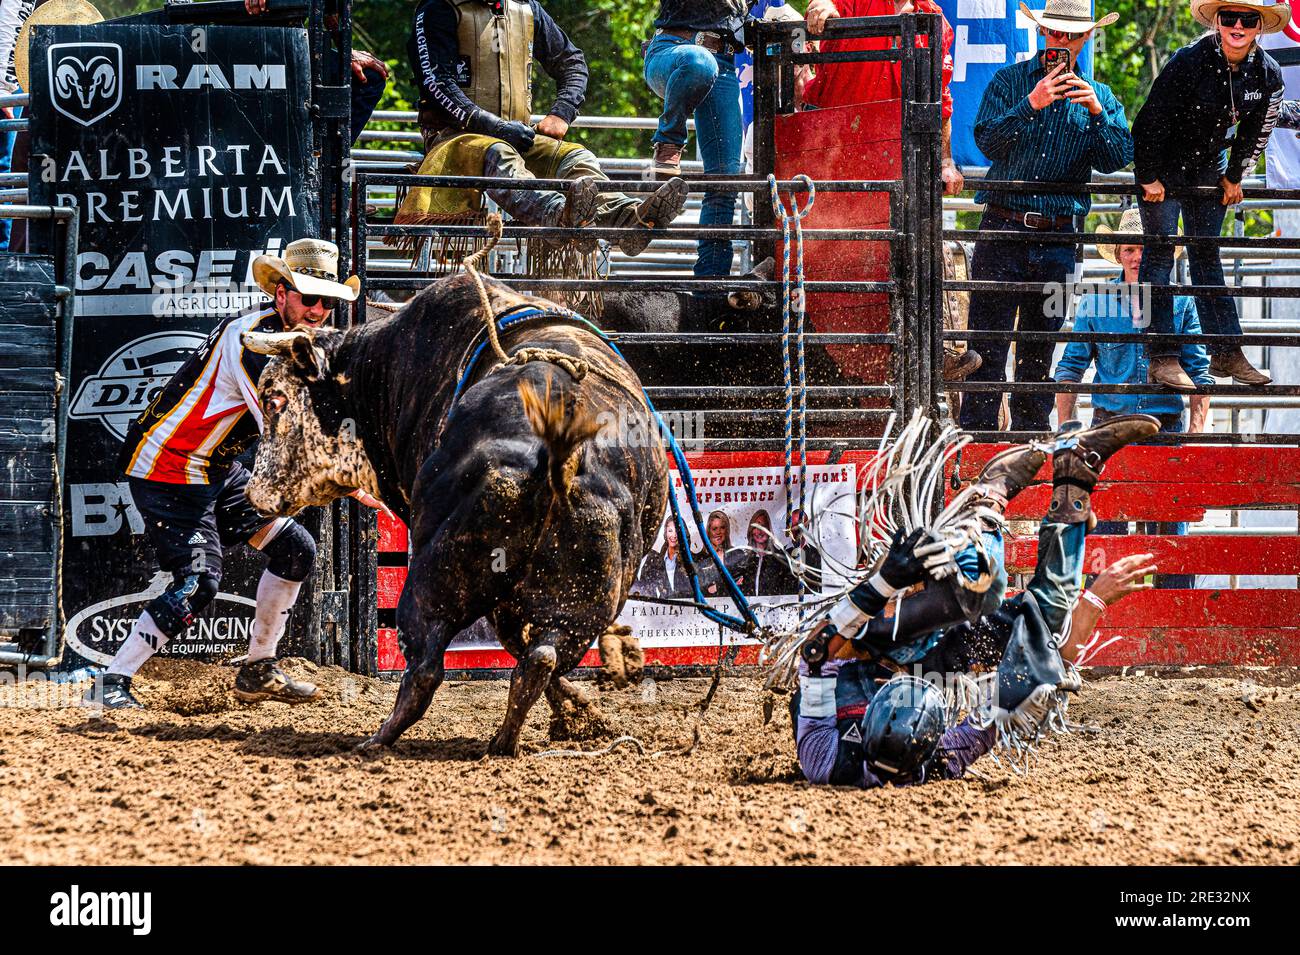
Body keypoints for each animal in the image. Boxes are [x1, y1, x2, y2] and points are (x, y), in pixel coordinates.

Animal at [241, 272, 670, 758]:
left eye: (274, 400)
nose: (254, 491)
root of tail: (553, 453)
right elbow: (525, 648)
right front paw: (580, 714)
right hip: (582, 596)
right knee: (541, 657)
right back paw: (509, 738)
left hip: (434, 578)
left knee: (427, 666)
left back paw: (379, 738)